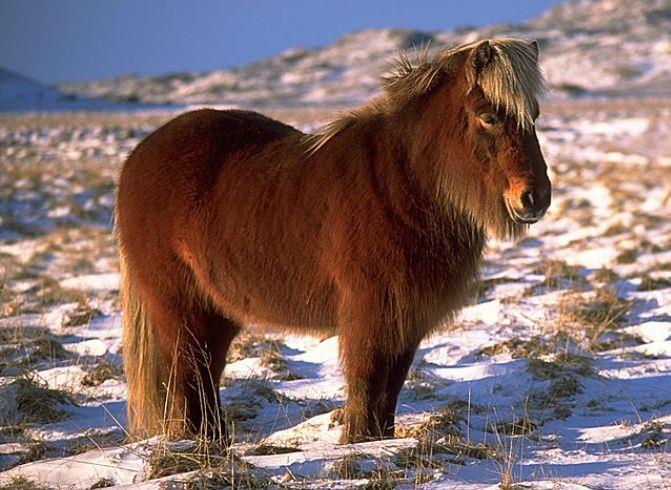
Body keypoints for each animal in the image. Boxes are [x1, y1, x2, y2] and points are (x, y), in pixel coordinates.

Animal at [116, 38, 551, 444]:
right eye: (489, 116)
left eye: (534, 115)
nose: (536, 197)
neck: (404, 181)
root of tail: (138, 155)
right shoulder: (371, 311)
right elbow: (367, 378)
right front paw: (358, 442)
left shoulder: (407, 316)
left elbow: (390, 386)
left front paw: (379, 440)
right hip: (180, 306)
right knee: (188, 372)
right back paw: (197, 442)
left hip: (217, 309)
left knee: (206, 371)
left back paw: (215, 439)